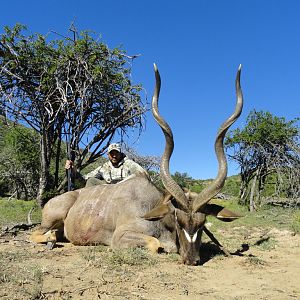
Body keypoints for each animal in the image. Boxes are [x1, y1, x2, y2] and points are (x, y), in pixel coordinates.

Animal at [29, 63, 244, 264]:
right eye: (178, 219)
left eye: (202, 222)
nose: (191, 260)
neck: (152, 205)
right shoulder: (120, 236)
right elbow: (155, 244)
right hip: (51, 219)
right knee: (35, 233)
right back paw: (50, 238)